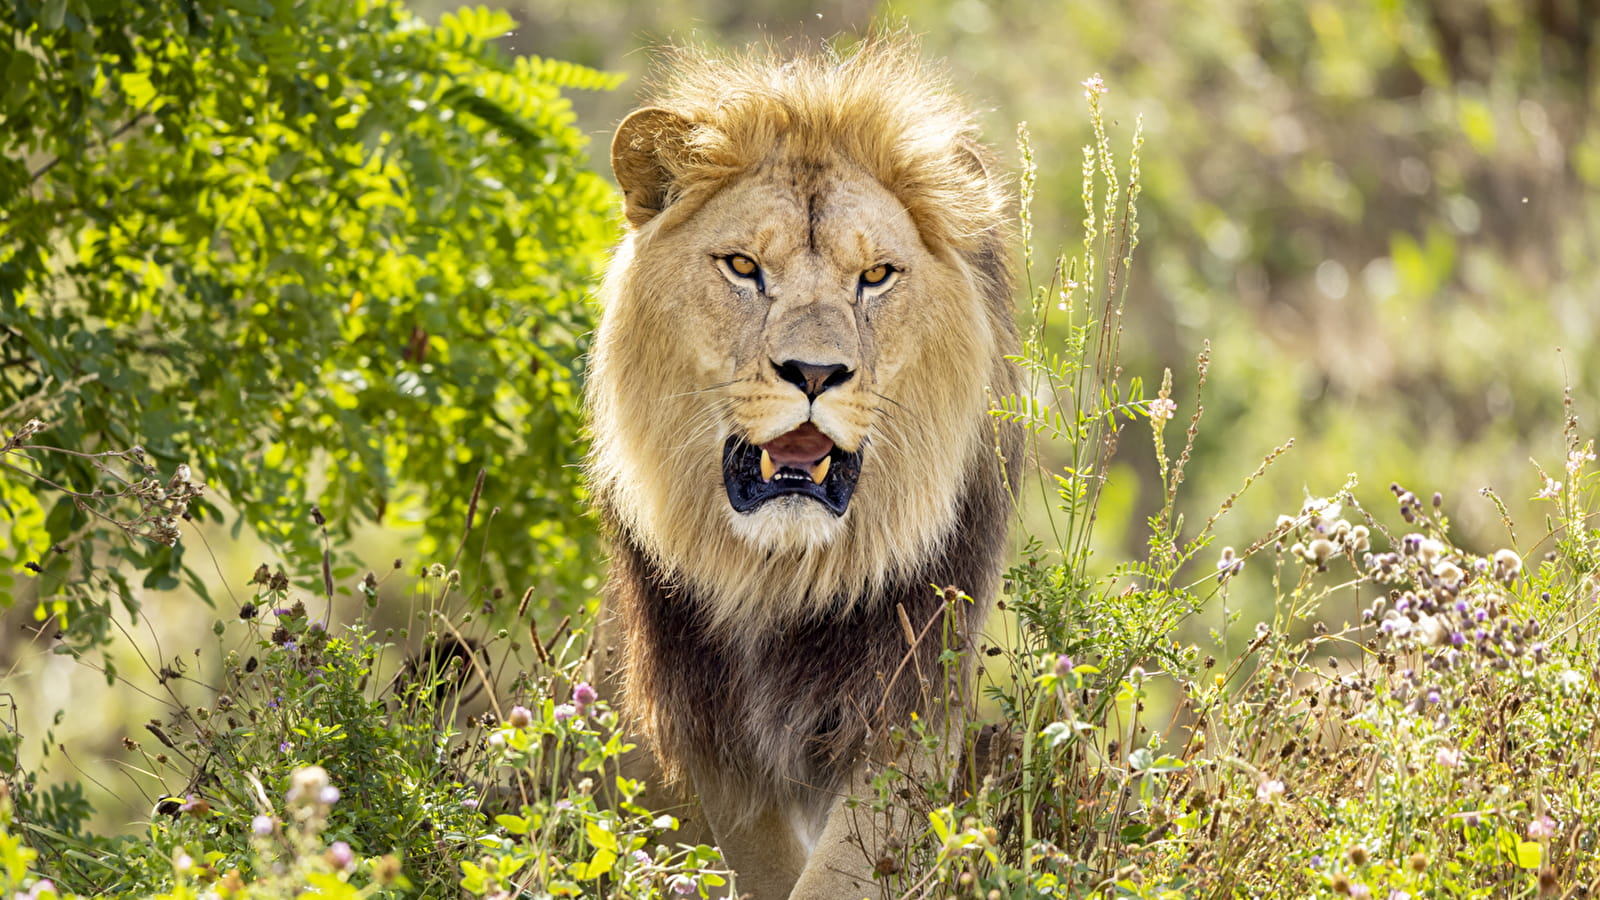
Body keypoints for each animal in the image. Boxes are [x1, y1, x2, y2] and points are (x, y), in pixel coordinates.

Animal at [588, 36, 1024, 896]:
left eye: (876, 276)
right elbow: (764, 857)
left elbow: (845, 867)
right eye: (742, 266)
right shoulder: (710, 720)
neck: (780, 573)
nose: (815, 373)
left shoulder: (905, 704)